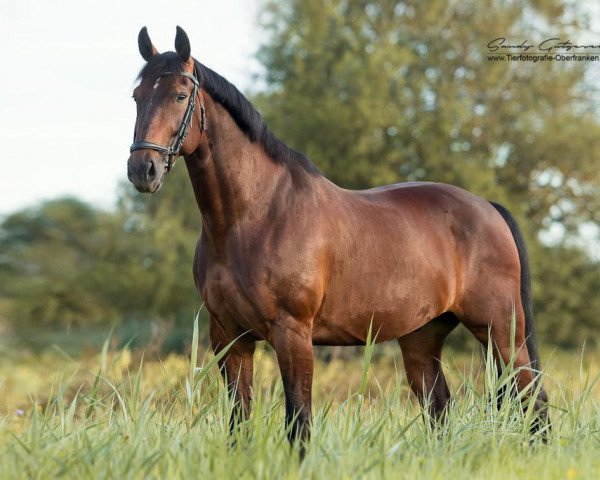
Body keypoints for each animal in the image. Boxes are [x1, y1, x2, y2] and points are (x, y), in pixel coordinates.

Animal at [126, 26, 548, 446]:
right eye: (137, 96)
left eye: (181, 95)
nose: (142, 170)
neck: (253, 216)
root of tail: (488, 207)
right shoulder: (229, 337)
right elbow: (238, 423)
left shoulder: (293, 333)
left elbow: (299, 420)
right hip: (422, 338)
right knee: (440, 407)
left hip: (501, 332)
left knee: (534, 399)